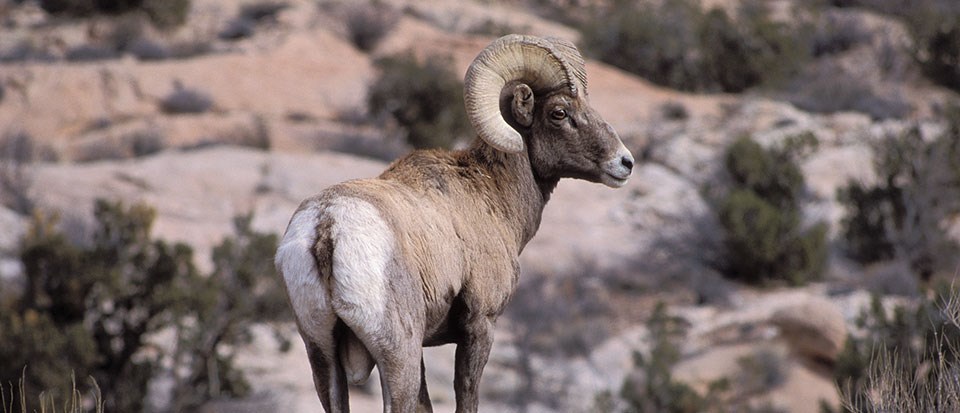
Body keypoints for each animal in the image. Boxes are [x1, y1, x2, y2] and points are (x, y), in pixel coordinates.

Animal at [276, 33, 636, 410]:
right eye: (559, 112)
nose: (625, 162)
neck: (491, 196)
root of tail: (327, 226)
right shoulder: (480, 325)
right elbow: (465, 394)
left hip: (322, 356)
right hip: (398, 353)